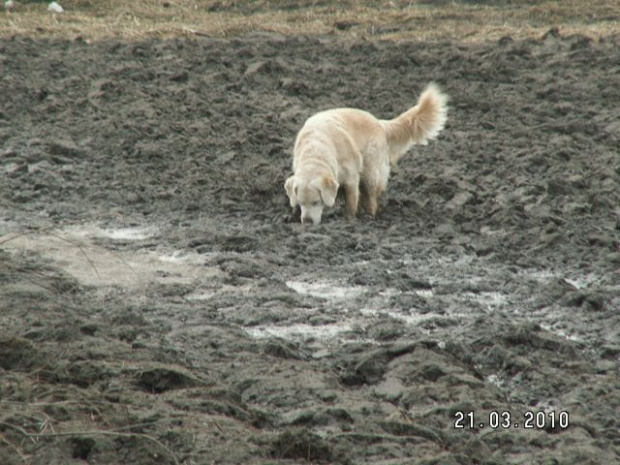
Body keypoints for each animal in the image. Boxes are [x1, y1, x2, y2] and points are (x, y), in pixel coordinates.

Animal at [284, 83, 448, 225]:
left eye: (316, 202)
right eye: (301, 203)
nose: (307, 222)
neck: (315, 150)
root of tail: (379, 122)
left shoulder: (351, 179)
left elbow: (351, 204)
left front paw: (349, 221)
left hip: (370, 172)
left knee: (370, 198)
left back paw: (369, 216)